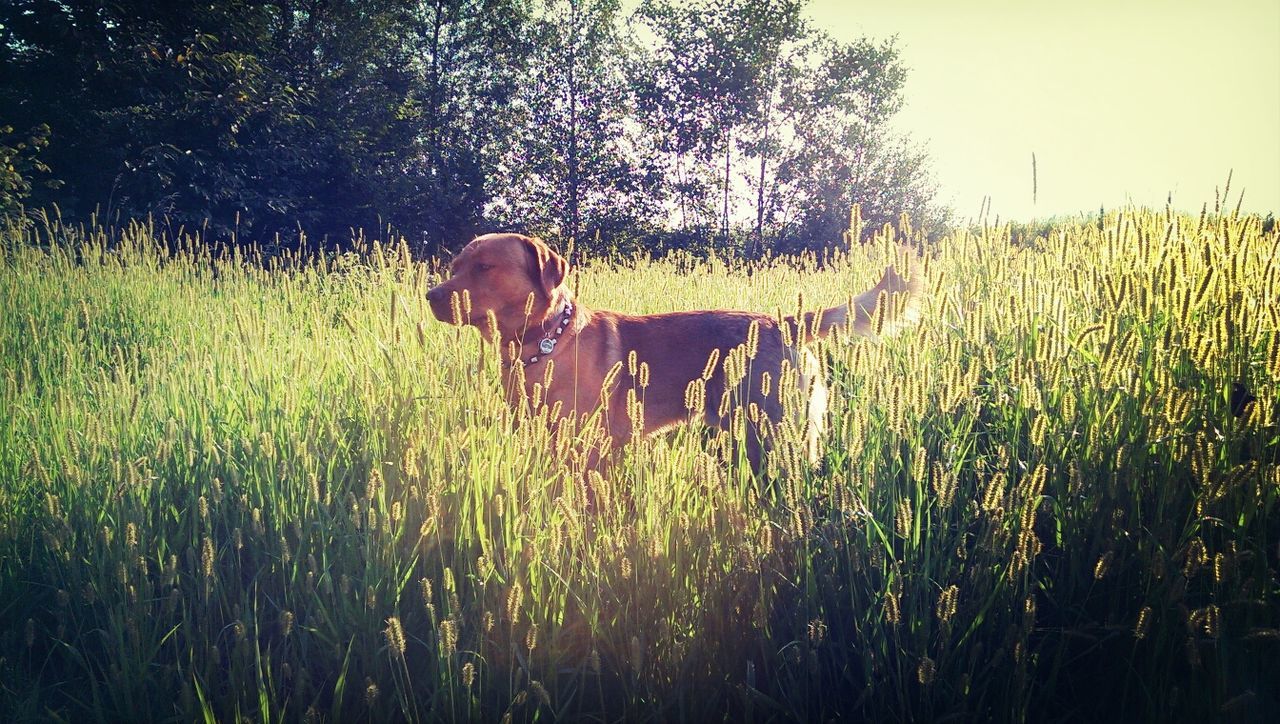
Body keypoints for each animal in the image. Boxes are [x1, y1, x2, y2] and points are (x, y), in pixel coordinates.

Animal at [427, 231, 921, 470]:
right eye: (455, 266)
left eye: (484, 267)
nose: (431, 296)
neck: (541, 343)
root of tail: (783, 322)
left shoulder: (588, 447)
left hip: (773, 432)